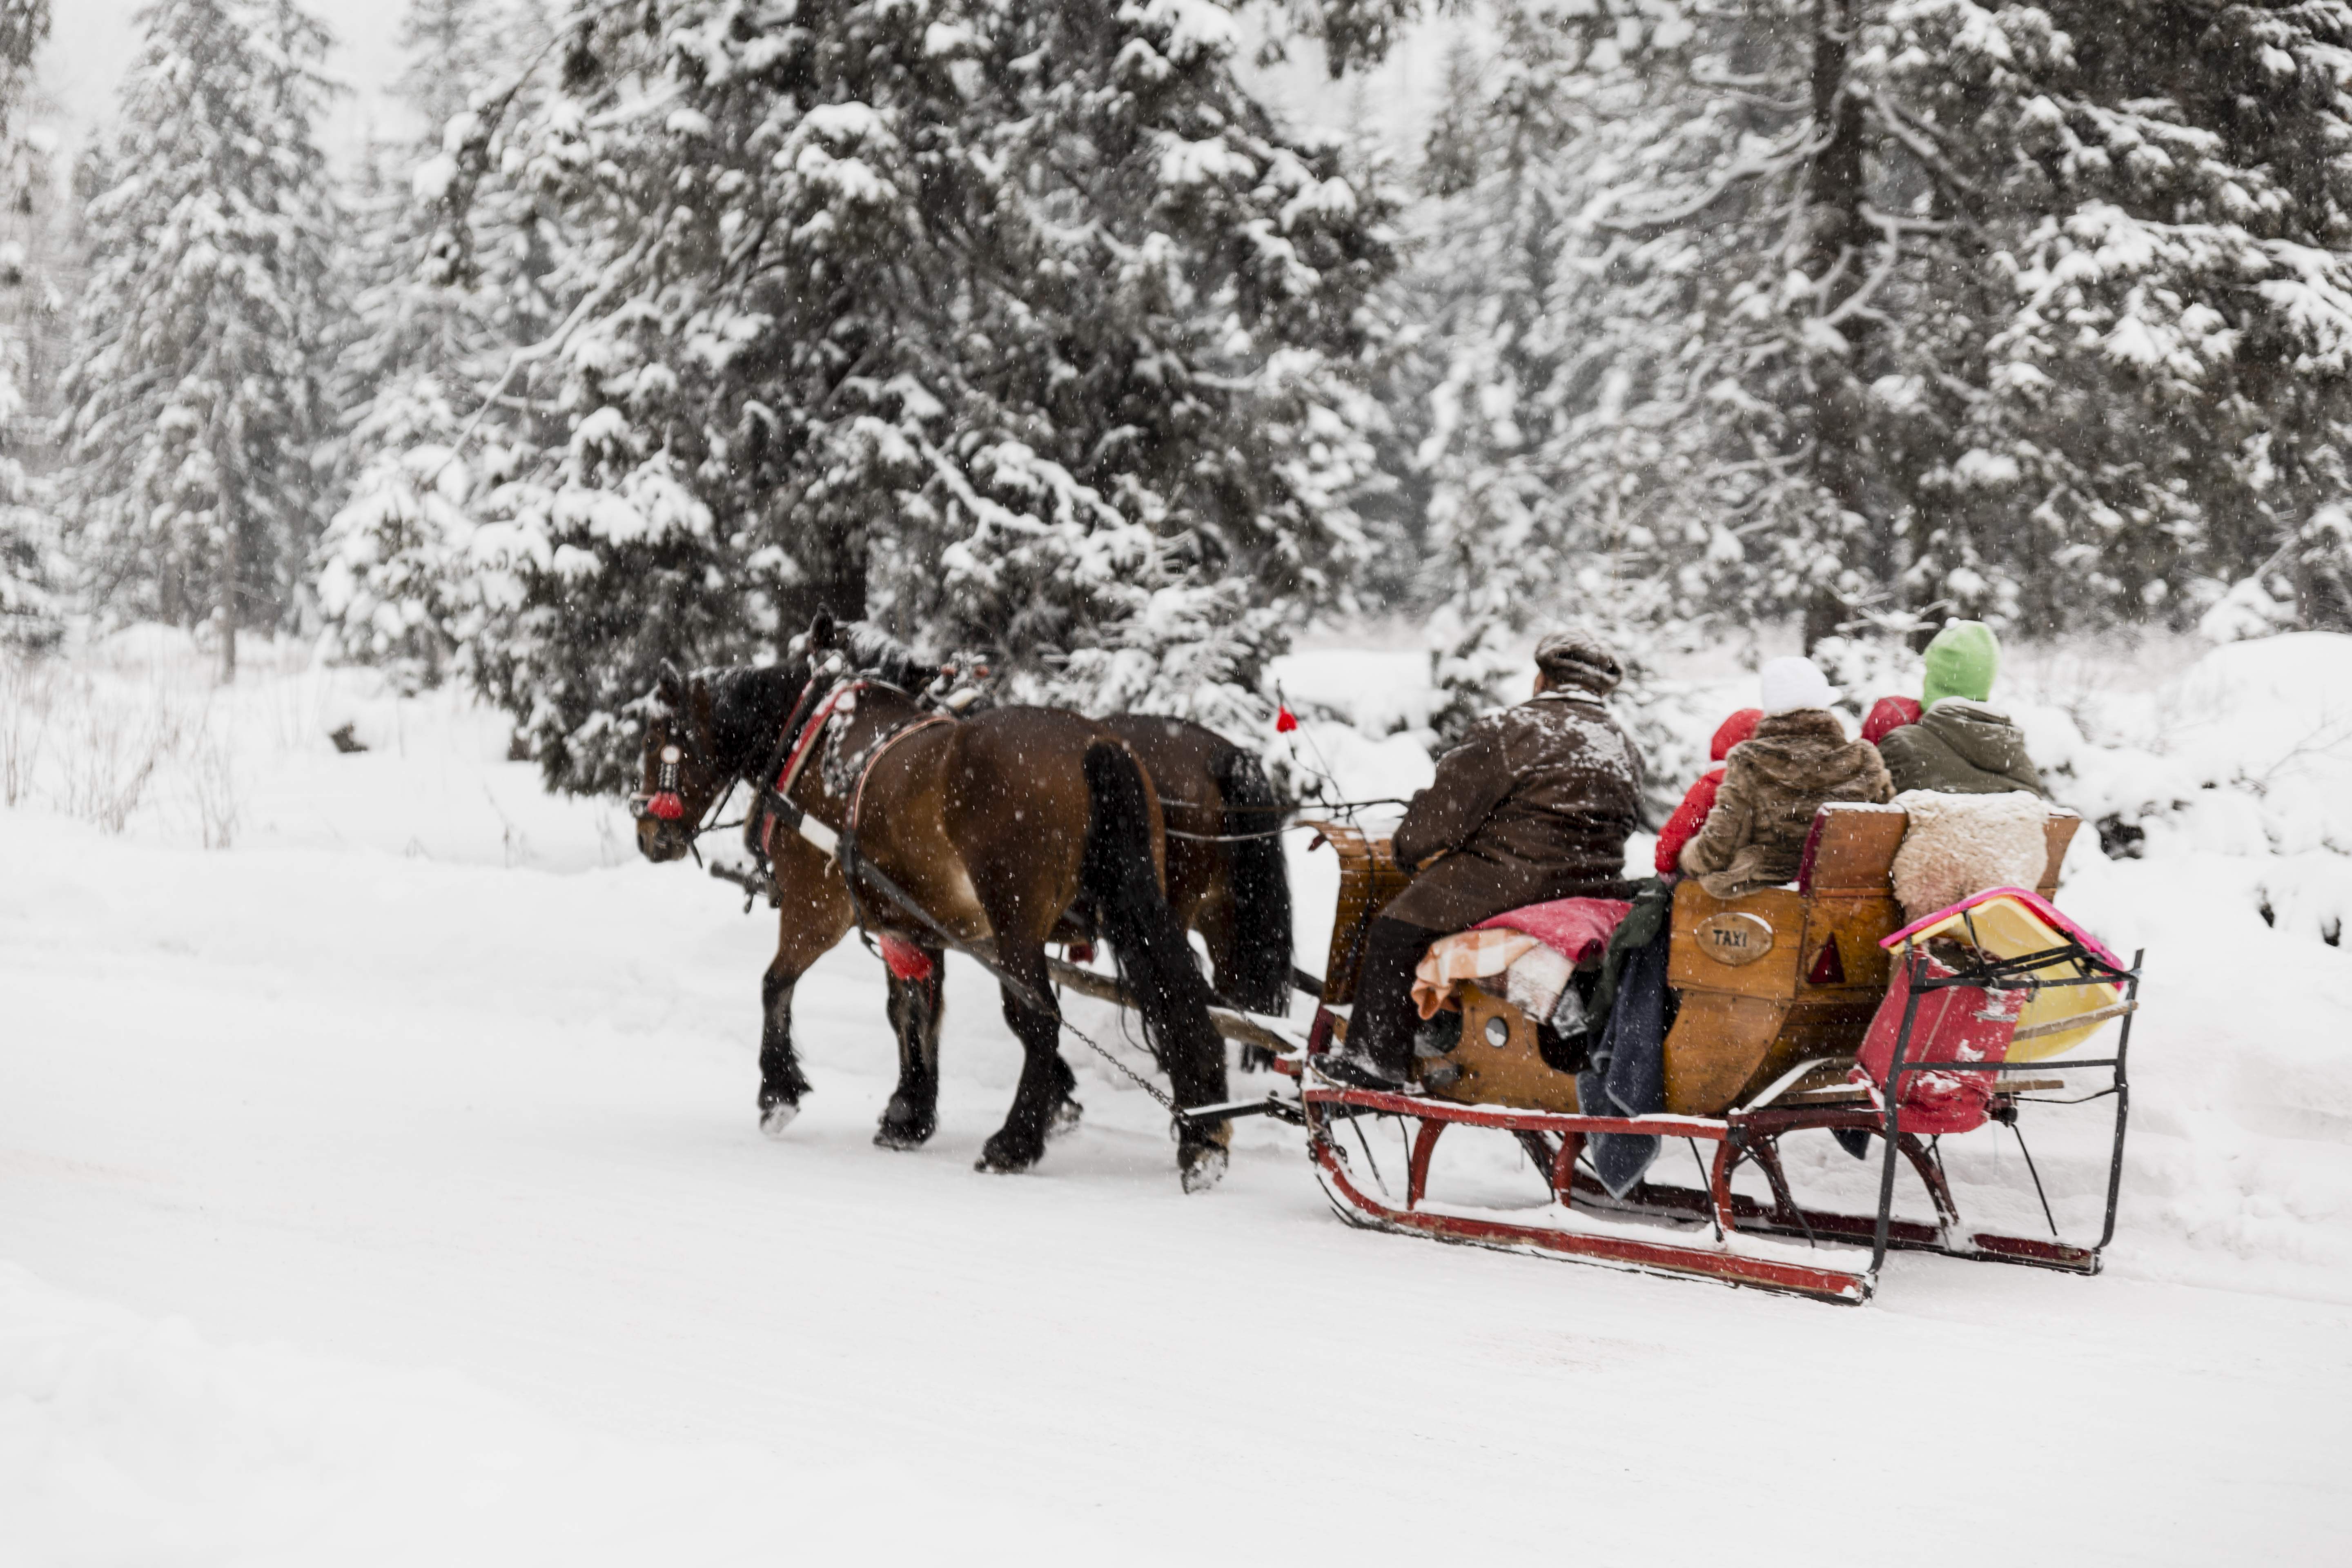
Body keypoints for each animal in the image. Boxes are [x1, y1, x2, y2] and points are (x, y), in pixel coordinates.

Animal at [635, 611, 1279, 1189]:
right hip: (1139, 907)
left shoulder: (817, 907)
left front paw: (779, 1092)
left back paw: (1014, 1143)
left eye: (655, 739)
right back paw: (1202, 1136)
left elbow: (776, 985)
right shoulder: (910, 924)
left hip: (1019, 922)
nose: (648, 835)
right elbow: (912, 1013)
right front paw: (910, 1114)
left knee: (1044, 1018)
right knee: (1178, 1000)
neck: (815, 741)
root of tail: (1096, 742)